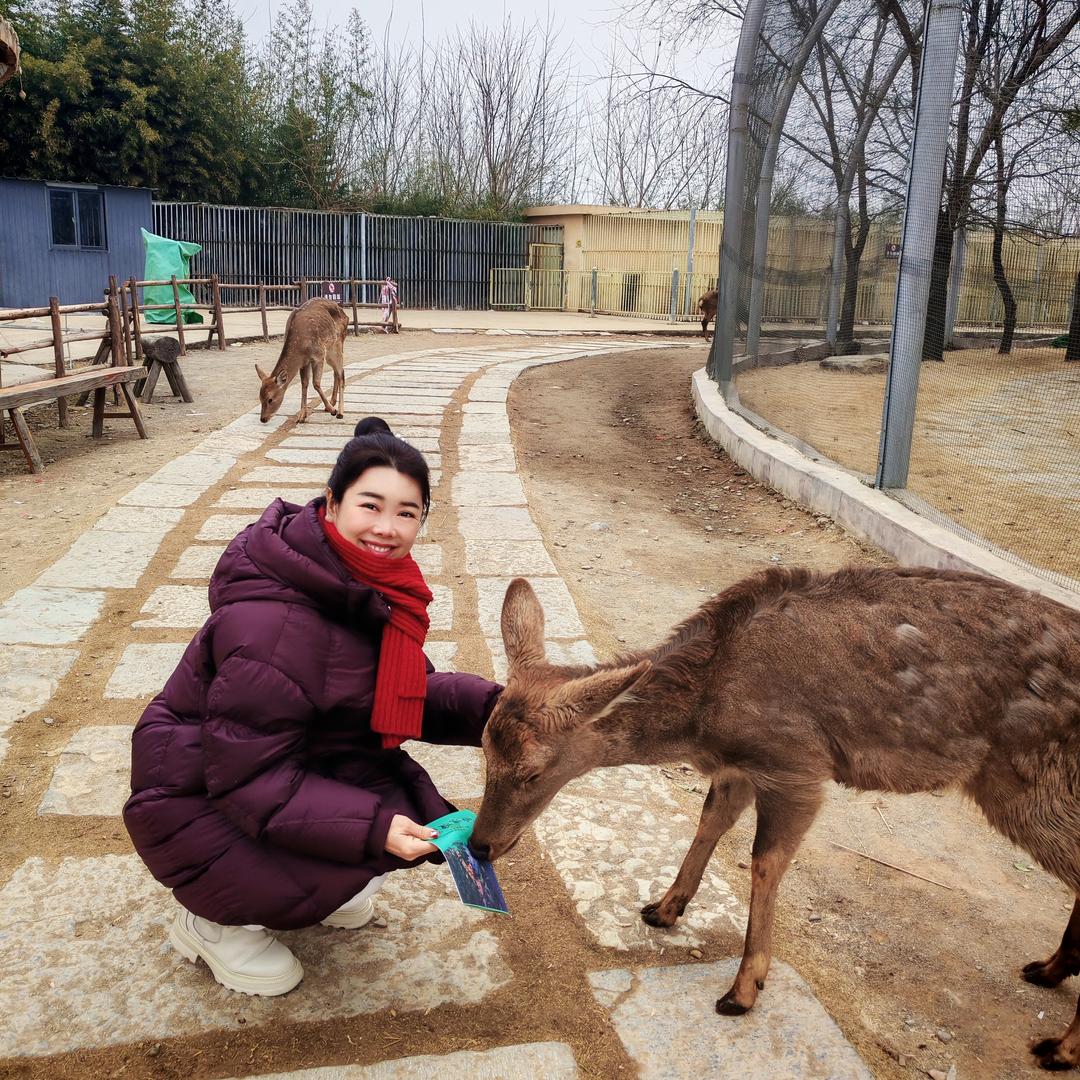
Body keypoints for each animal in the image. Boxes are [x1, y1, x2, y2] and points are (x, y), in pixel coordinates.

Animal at [470, 567, 1080, 1071]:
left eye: (532, 772)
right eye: (483, 746)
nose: (479, 846)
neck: (706, 716)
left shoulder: (796, 765)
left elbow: (764, 862)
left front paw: (743, 990)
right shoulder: (739, 766)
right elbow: (709, 823)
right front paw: (664, 909)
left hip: (1033, 785)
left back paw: (1059, 1046)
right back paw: (1050, 969)